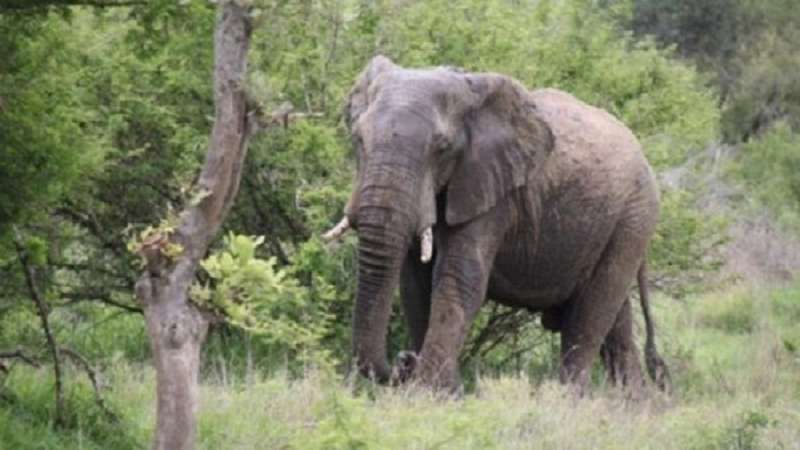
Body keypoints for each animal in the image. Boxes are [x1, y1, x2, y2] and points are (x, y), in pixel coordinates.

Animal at [324, 55, 668, 394]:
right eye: (358, 138)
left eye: (442, 148)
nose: (404, 360)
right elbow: (414, 286)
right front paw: (443, 392)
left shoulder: (493, 192)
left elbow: (459, 278)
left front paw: (430, 393)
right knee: (617, 322)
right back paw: (632, 403)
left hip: (633, 219)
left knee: (590, 314)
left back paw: (570, 399)